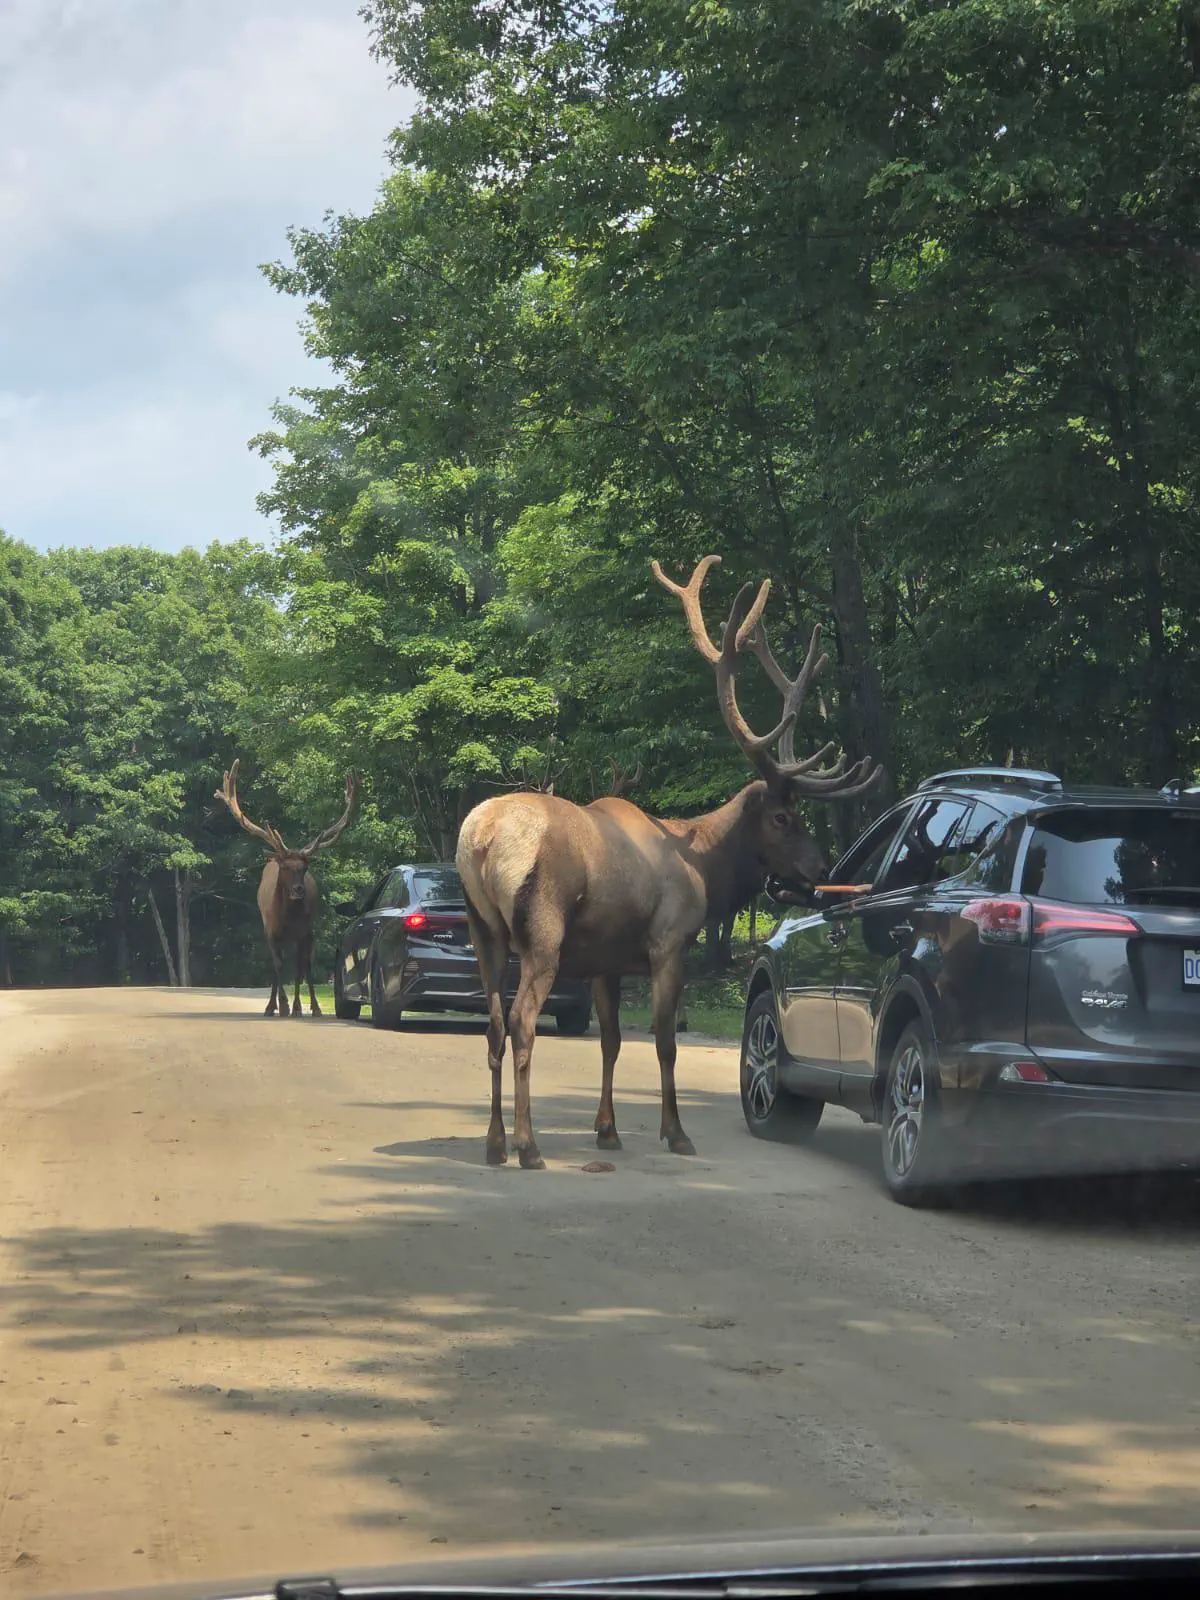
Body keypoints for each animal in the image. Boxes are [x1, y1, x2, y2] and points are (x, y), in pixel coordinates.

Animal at [214, 760, 356, 1018]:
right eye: (285, 867)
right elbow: (278, 966)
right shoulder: (271, 930)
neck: (288, 916)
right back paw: (273, 1006)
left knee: (304, 965)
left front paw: (300, 1007)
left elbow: (301, 968)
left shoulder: (305, 932)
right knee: (277, 966)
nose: (299, 890)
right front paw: (280, 1005)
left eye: (304, 867)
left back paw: (309, 1007)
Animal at [455, 554, 882, 1169]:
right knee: (521, 1021)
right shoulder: (670, 940)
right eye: (783, 818)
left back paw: (493, 1143)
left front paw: (607, 1130)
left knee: (491, 1024)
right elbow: (664, 1041)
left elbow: (611, 1041)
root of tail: (481, 838)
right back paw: (528, 1145)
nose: (822, 870)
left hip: (482, 929)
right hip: (542, 931)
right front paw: (676, 1132)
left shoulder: (606, 960)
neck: (703, 867)